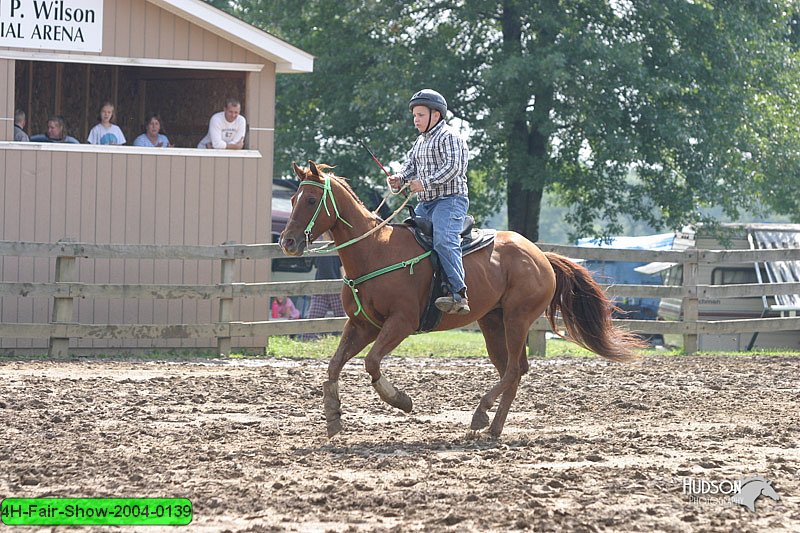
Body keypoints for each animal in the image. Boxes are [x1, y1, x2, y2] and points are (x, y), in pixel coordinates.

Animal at [282, 161, 644, 436]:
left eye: (311, 200)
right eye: (293, 198)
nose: (287, 242)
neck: (375, 250)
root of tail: (540, 255)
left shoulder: (401, 323)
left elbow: (371, 362)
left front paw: (401, 400)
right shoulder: (362, 324)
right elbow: (334, 365)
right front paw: (332, 415)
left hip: (517, 319)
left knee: (513, 370)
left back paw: (481, 414)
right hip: (492, 322)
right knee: (514, 370)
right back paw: (493, 428)